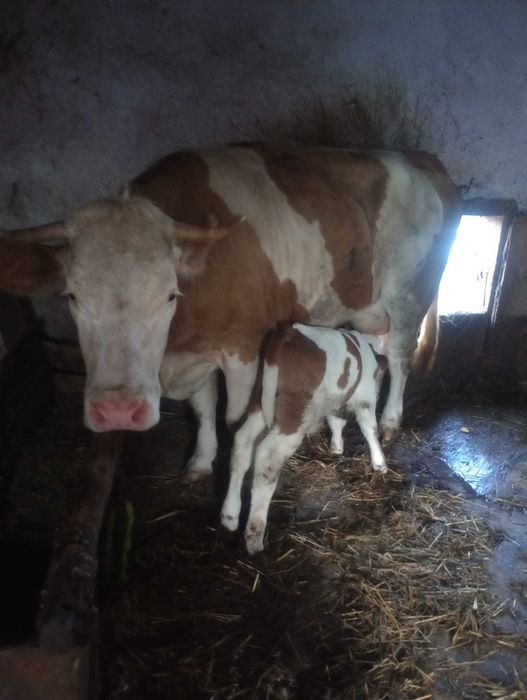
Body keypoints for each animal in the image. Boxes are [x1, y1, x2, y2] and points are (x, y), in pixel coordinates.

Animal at [0, 144, 461, 481]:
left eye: (170, 295)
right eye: (71, 296)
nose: (117, 412)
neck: (178, 341)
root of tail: (419, 158)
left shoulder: (244, 347)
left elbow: (234, 417)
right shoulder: (197, 351)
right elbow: (203, 408)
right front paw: (201, 462)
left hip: (410, 294)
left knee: (400, 357)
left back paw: (390, 420)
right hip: (369, 306)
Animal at [221, 323, 388, 553]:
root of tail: (289, 332)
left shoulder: (335, 400)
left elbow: (336, 421)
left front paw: (337, 447)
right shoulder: (365, 398)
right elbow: (369, 428)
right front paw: (380, 463)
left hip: (258, 402)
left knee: (242, 444)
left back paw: (229, 515)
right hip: (294, 414)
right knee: (267, 461)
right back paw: (255, 535)